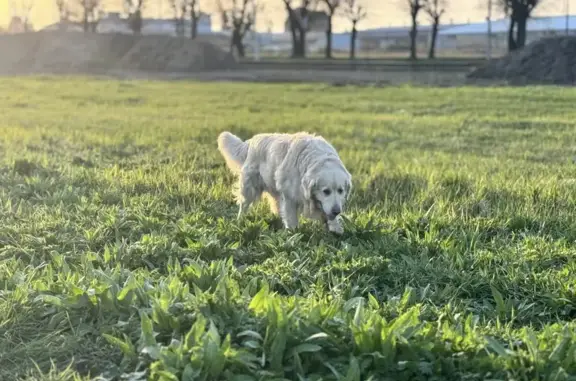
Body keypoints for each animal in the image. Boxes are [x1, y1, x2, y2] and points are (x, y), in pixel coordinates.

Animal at [216, 131, 352, 233]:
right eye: (326, 191)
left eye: (341, 190)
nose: (337, 211)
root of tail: (252, 140)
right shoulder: (289, 196)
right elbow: (291, 218)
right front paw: (293, 233)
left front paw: (335, 228)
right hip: (250, 187)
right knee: (243, 205)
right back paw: (240, 221)